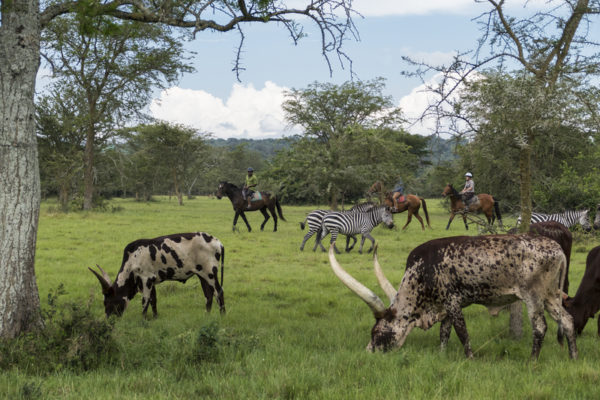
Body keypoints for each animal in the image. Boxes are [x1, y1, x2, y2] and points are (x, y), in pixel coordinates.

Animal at [86, 231, 223, 318]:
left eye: (107, 302)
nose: (109, 319)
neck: (132, 260)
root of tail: (218, 242)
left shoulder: (146, 279)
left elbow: (145, 301)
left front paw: (143, 320)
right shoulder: (152, 280)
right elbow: (153, 300)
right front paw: (155, 317)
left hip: (210, 273)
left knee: (218, 292)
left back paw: (223, 316)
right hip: (202, 275)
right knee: (209, 295)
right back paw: (207, 316)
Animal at [330, 234, 580, 360]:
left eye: (377, 333)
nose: (369, 353)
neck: (420, 273)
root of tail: (557, 249)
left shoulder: (452, 302)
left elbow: (462, 333)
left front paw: (469, 358)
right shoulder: (446, 306)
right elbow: (444, 332)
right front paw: (441, 355)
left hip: (534, 296)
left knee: (540, 327)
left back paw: (532, 360)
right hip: (550, 296)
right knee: (567, 320)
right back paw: (573, 356)